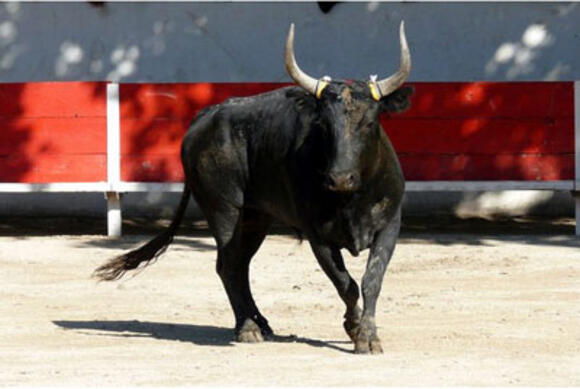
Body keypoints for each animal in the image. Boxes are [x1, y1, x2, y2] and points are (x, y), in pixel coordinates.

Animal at [95, 22, 412, 354]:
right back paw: (247, 328)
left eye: (371, 123)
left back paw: (262, 323)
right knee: (229, 265)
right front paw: (354, 328)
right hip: (224, 210)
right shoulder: (317, 235)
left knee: (241, 264)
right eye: (323, 124)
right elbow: (345, 283)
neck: (352, 200)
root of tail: (205, 116)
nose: (339, 179)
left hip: (255, 218)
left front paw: (367, 336)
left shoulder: (389, 225)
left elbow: (371, 280)